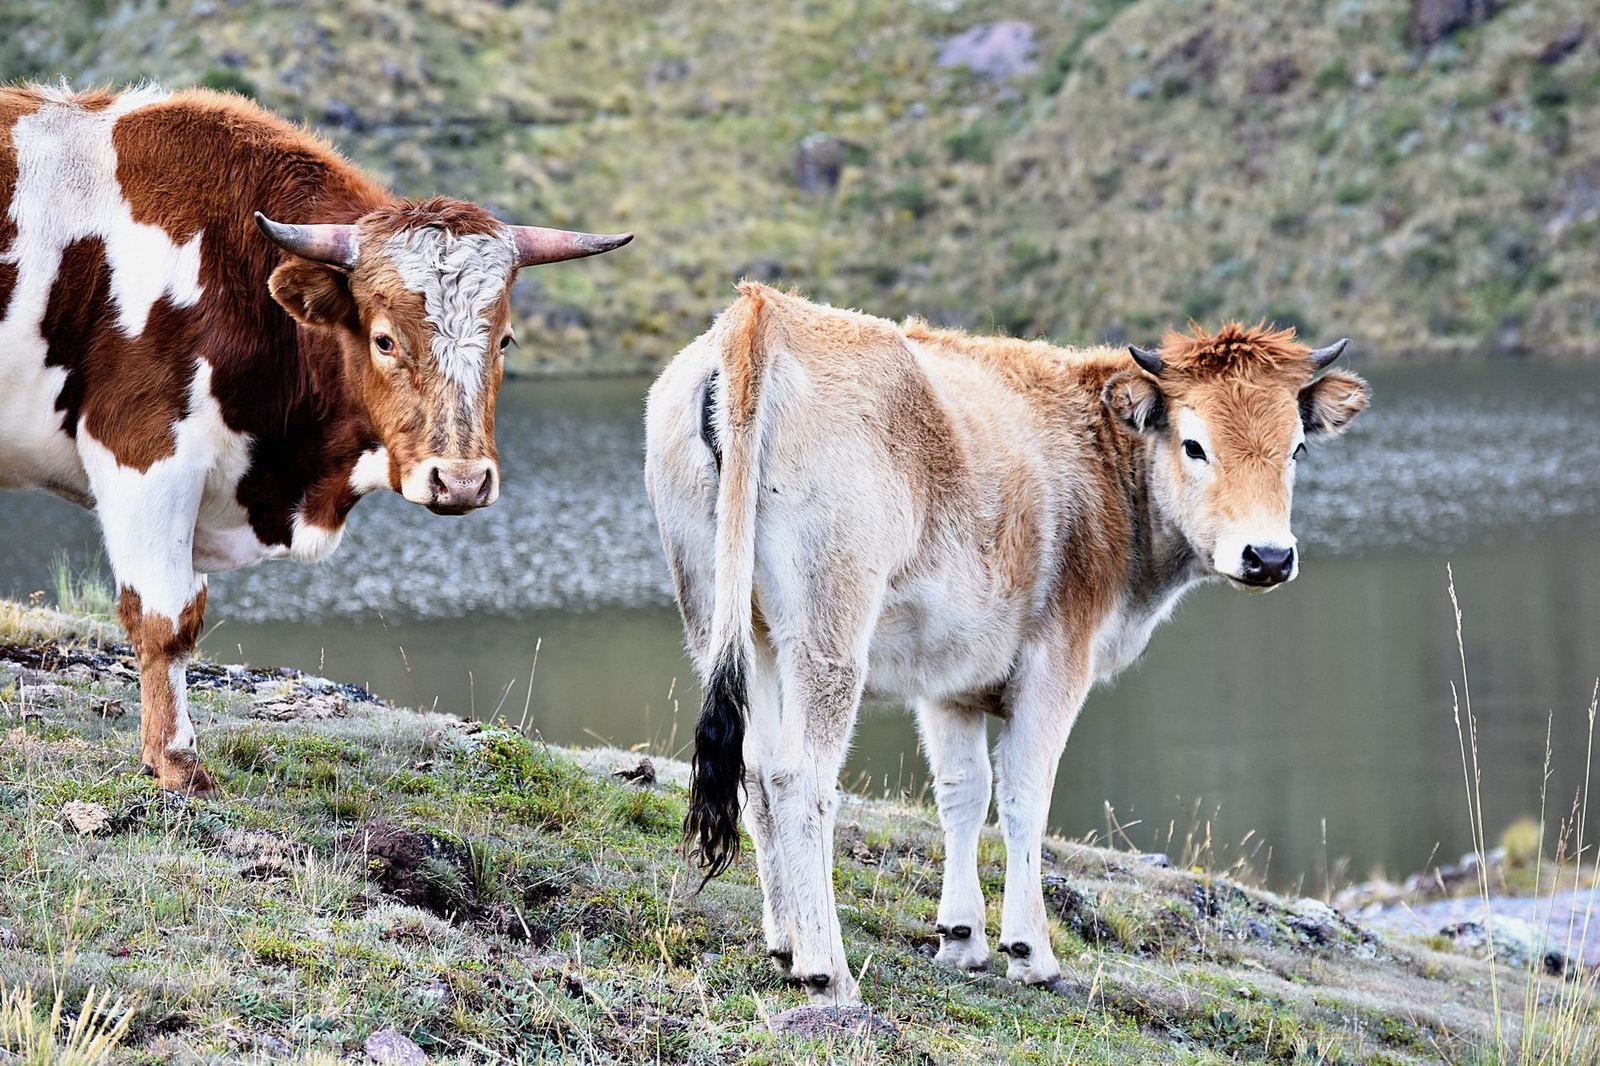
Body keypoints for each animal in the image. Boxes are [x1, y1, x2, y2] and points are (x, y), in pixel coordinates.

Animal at [0, 84, 631, 793]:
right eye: (384, 340)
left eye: (504, 341)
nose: (462, 481)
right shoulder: (142, 450)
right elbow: (166, 618)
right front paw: (176, 762)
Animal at [644, 283, 1369, 1003]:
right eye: (1195, 445)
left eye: (1296, 448)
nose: (1268, 556)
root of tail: (764, 311)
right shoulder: (1059, 659)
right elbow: (1025, 791)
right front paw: (1029, 951)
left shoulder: (950, 677)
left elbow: (963, 790)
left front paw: (961, 938)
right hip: (829, 628)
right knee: (800, 774)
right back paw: (826, 965)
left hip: (733, 623)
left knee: (756, 768)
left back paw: (784, 944)